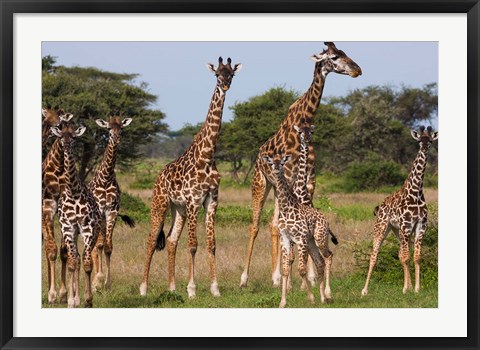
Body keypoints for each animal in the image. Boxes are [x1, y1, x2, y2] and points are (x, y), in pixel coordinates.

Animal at [50, 122, 101, 306]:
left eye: (73, 136)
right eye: (60, 136)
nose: (66, 145)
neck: (73, 192)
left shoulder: (88, 229)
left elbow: (87, 263)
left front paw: (88, 299)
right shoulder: (68, 227)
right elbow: (72, 262)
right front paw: (72, 300)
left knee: (82, 259)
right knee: (76, 259)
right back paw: (74, 298)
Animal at [89, 116, 134, 292]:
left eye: (121, 128)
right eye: (108, 129)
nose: (116, 138)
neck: (106, 178)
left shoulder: (112, 211)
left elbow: (108, 247)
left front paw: (107, 284)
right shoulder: (100, 212)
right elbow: (99, 246)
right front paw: (97, 281)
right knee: (94, 246)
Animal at [141, 57, 242, 298]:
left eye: (231, 74)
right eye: (217, 74)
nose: (225, 85)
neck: (207, 155)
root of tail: (158, 177)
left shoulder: (211, 201)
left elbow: (211, 244)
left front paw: (215, 288)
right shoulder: (194, 201)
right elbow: (193, 244)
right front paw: (192, 289)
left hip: (178, 209)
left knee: (171, 241)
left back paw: (171, 287)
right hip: (160, 203)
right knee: (151, 240)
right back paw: (144, 288)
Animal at [240, 41, 360, 288]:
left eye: (344, 52)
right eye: (334, 57)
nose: (357, 70)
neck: (304, 118)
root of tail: (258, 153)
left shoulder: (310, 180)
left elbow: (307, 215)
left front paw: (311, 277)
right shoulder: (287, 177)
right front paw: (296, 278)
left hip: (277, 188)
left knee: (273, 225)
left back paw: (276, 276)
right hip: (261, 183)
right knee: (256, 225)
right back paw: (247, 278)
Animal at [362, 126, 436, 296]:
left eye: (430, 140)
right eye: (419, 140)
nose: (424, 147)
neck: (415, 193)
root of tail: (380, 206)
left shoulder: (420, 225)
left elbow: (415, 257)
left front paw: (415, 288)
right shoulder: (406, 225)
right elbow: (406, 258)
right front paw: (406, 289)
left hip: (396, 230)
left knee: (400, 253)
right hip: (382, 227)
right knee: (374, 255)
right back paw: (364, 290)